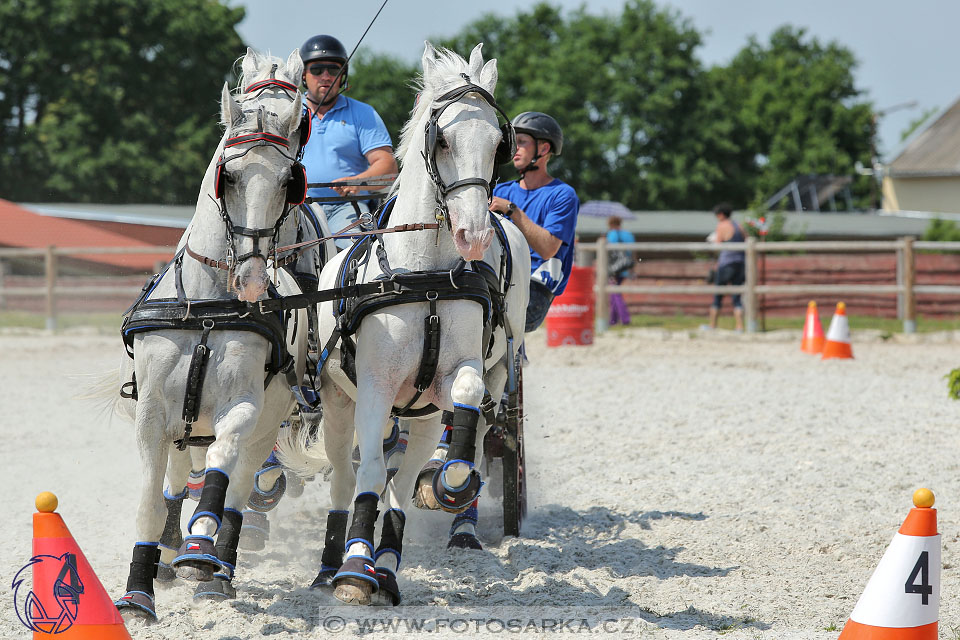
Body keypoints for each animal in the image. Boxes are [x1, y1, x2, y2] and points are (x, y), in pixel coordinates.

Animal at [108, 48, 312, 620]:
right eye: (232, 176)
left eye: (288, 180)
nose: (252, 280)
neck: (205, 309)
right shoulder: (154, 415)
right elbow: (151, 501)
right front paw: (138, 592)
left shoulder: (242, 406)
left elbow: (222, 466)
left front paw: (200, 550)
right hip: (181, 427)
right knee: (179, 481)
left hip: (265, 425)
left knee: (239, 489)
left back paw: (217, 568)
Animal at [278, 42, 532, 608]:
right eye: (443, 140)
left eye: (497, 143)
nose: (475, 233)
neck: (424, 274)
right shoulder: (373, 386)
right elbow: (369, 472)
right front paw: (354, 568)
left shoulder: (455, 374)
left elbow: (465, 405)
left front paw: (452, 480)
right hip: (339, 402)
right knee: (347, 476)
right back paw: (332, 567)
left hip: (425, 408)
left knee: (408, 473)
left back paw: (391, 565)